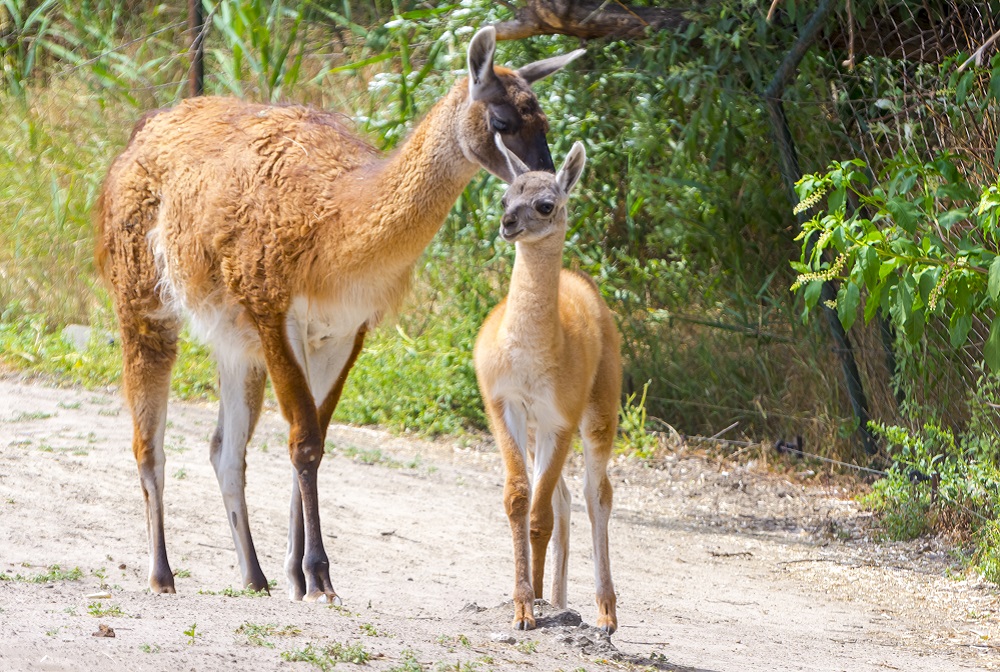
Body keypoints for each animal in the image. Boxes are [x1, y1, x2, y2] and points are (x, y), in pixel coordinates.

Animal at [94, 26, 584, 604]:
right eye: (504, 122)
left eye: (544, 123)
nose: (546, 186)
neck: (338, 225)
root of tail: (147, 127)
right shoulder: (273, 311)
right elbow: (304, 443)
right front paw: (320, 575)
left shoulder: (343, 331)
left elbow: (312, 444)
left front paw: (297, 574)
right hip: (144, 301)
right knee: (149, 444)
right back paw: (162, 573)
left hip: (235, 343)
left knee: (225, 451)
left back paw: (254, 575)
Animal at [474, 139, 616, 632]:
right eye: (504, 198)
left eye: (545, 204)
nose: (507, 224)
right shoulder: (505, 404)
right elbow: (520, 499)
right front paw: (524, 606)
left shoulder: (562, 417)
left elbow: (538, 516)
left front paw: (530, 604)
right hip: (539, 427)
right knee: (563, 496)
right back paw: (554, 596)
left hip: (600, 410)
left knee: (597, 494)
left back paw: (606, 612)